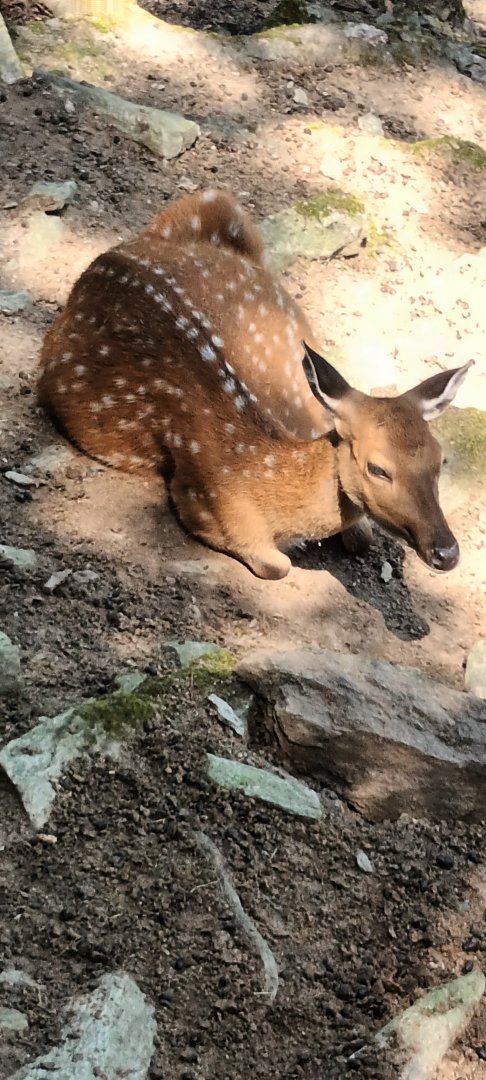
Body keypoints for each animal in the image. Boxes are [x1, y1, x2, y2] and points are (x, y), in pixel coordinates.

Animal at [38, 188, 473, 581]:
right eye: (378, 468)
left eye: (439, 460)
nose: (447, 552)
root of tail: (106, 256)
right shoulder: (202, 500)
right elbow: (277, 565)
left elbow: (361, 537)